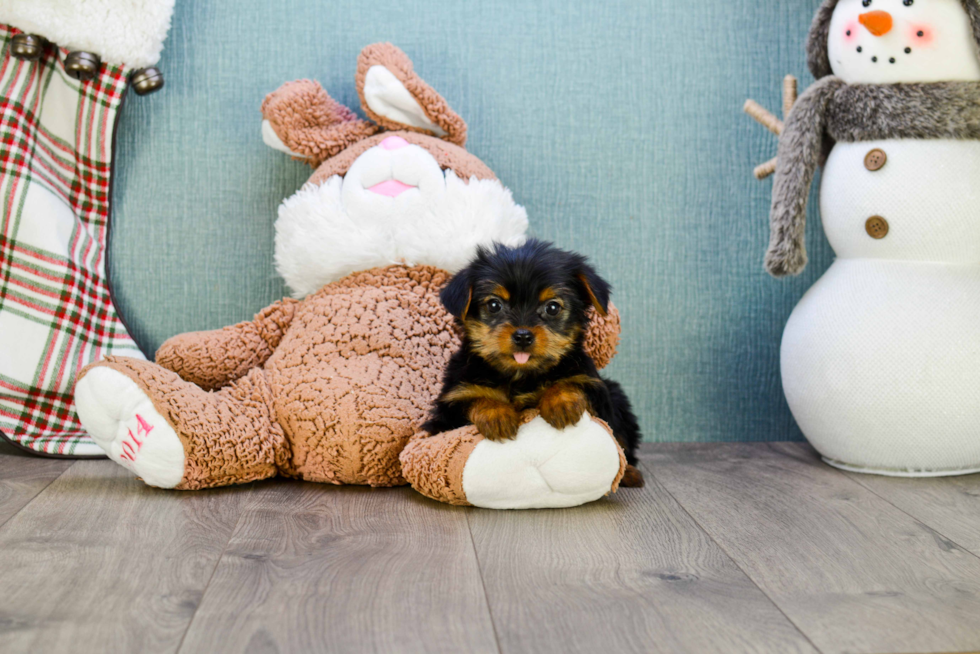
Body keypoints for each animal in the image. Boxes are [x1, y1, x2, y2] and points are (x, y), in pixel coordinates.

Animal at [422, 241, 644, 486]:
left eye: (552, 308)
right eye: (494, 305)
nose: (523, 336)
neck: (520, 375)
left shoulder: (594, 387)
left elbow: (570, 384)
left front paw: (561, 402)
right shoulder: (449, 408)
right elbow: (476, 398)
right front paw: (496, 415)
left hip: (617, 397)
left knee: (622, 442)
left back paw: (629, 473)